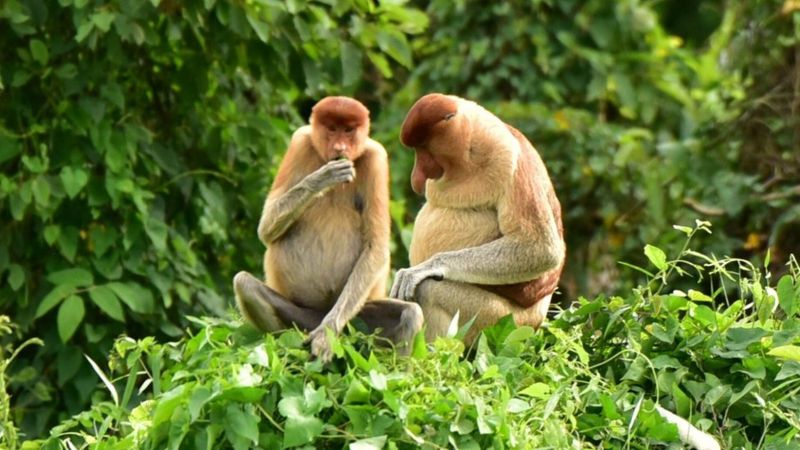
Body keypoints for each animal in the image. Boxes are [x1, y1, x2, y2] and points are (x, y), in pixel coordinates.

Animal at [233, 96, 424, 362]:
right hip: (301, 315)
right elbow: (266, 228)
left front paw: (326, 335)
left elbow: (375, 244)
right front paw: (322, 178)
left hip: (358, 321)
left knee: (410, 314)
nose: (340, 147)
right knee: (245, 284)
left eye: (349, 130)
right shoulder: (300, 143)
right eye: (332, 128)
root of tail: (320, 312)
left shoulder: (376, 158)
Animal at [390, 94, 564, 342]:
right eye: (416, 150)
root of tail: (535, 323)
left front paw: (421, 269)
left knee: (430, 291)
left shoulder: (508, 160)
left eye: (423, 149)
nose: (416, 178)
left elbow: (542, 249)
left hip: (500, 319)